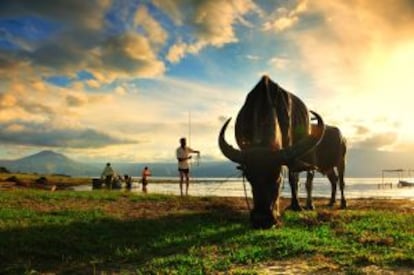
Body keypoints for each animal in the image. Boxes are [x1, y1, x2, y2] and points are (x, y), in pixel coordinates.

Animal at [218, 75, 326, 229]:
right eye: (249, 178)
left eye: (278, 178)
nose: (261, 220)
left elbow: (292, 178)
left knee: (300, 178)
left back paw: (300, 205)